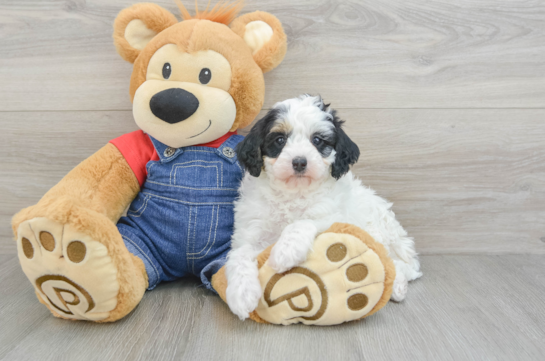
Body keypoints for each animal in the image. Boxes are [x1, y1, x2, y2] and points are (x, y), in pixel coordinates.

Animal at [224, 94, 420, 320]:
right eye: (280, 140)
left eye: (317, 140)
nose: (299, 162)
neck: (294, 193)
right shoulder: (250, 232)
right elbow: (238, 254)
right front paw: (241, 294)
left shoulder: (333, 216)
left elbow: (302, 222)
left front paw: (285, 251)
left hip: (375, 228)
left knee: (394, 262)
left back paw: (397, 287)